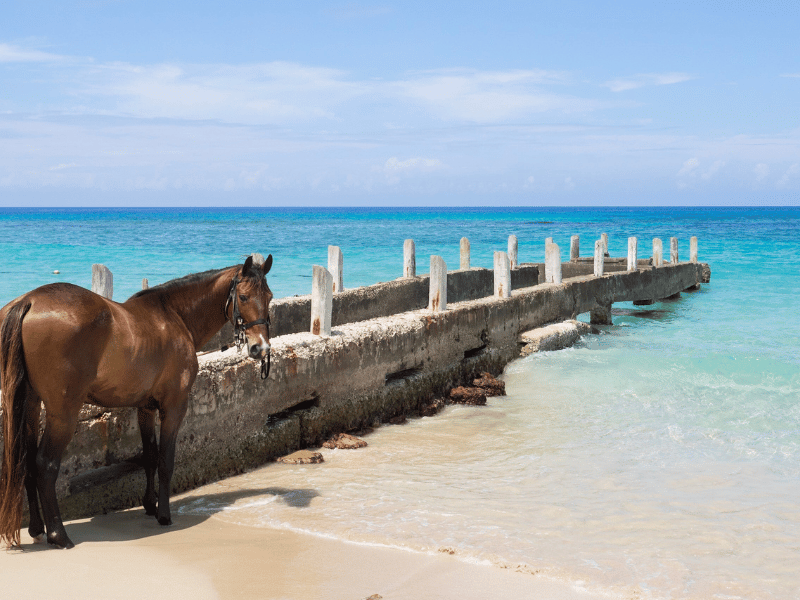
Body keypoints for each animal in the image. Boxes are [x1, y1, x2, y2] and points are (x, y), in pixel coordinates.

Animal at [0, 253, 274, 548]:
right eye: (243, 297)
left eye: (269, 296)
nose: (260, 348)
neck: (174, 316)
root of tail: (30, 301)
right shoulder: (174, 406)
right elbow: (165, 460)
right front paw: (164, 514)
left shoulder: (145, 407)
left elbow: (150, 457)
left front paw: (150, 504)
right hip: (63, 413)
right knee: (45, 464)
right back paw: (58, 534)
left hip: (30, 405)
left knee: (27, 463)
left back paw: (37, 528)